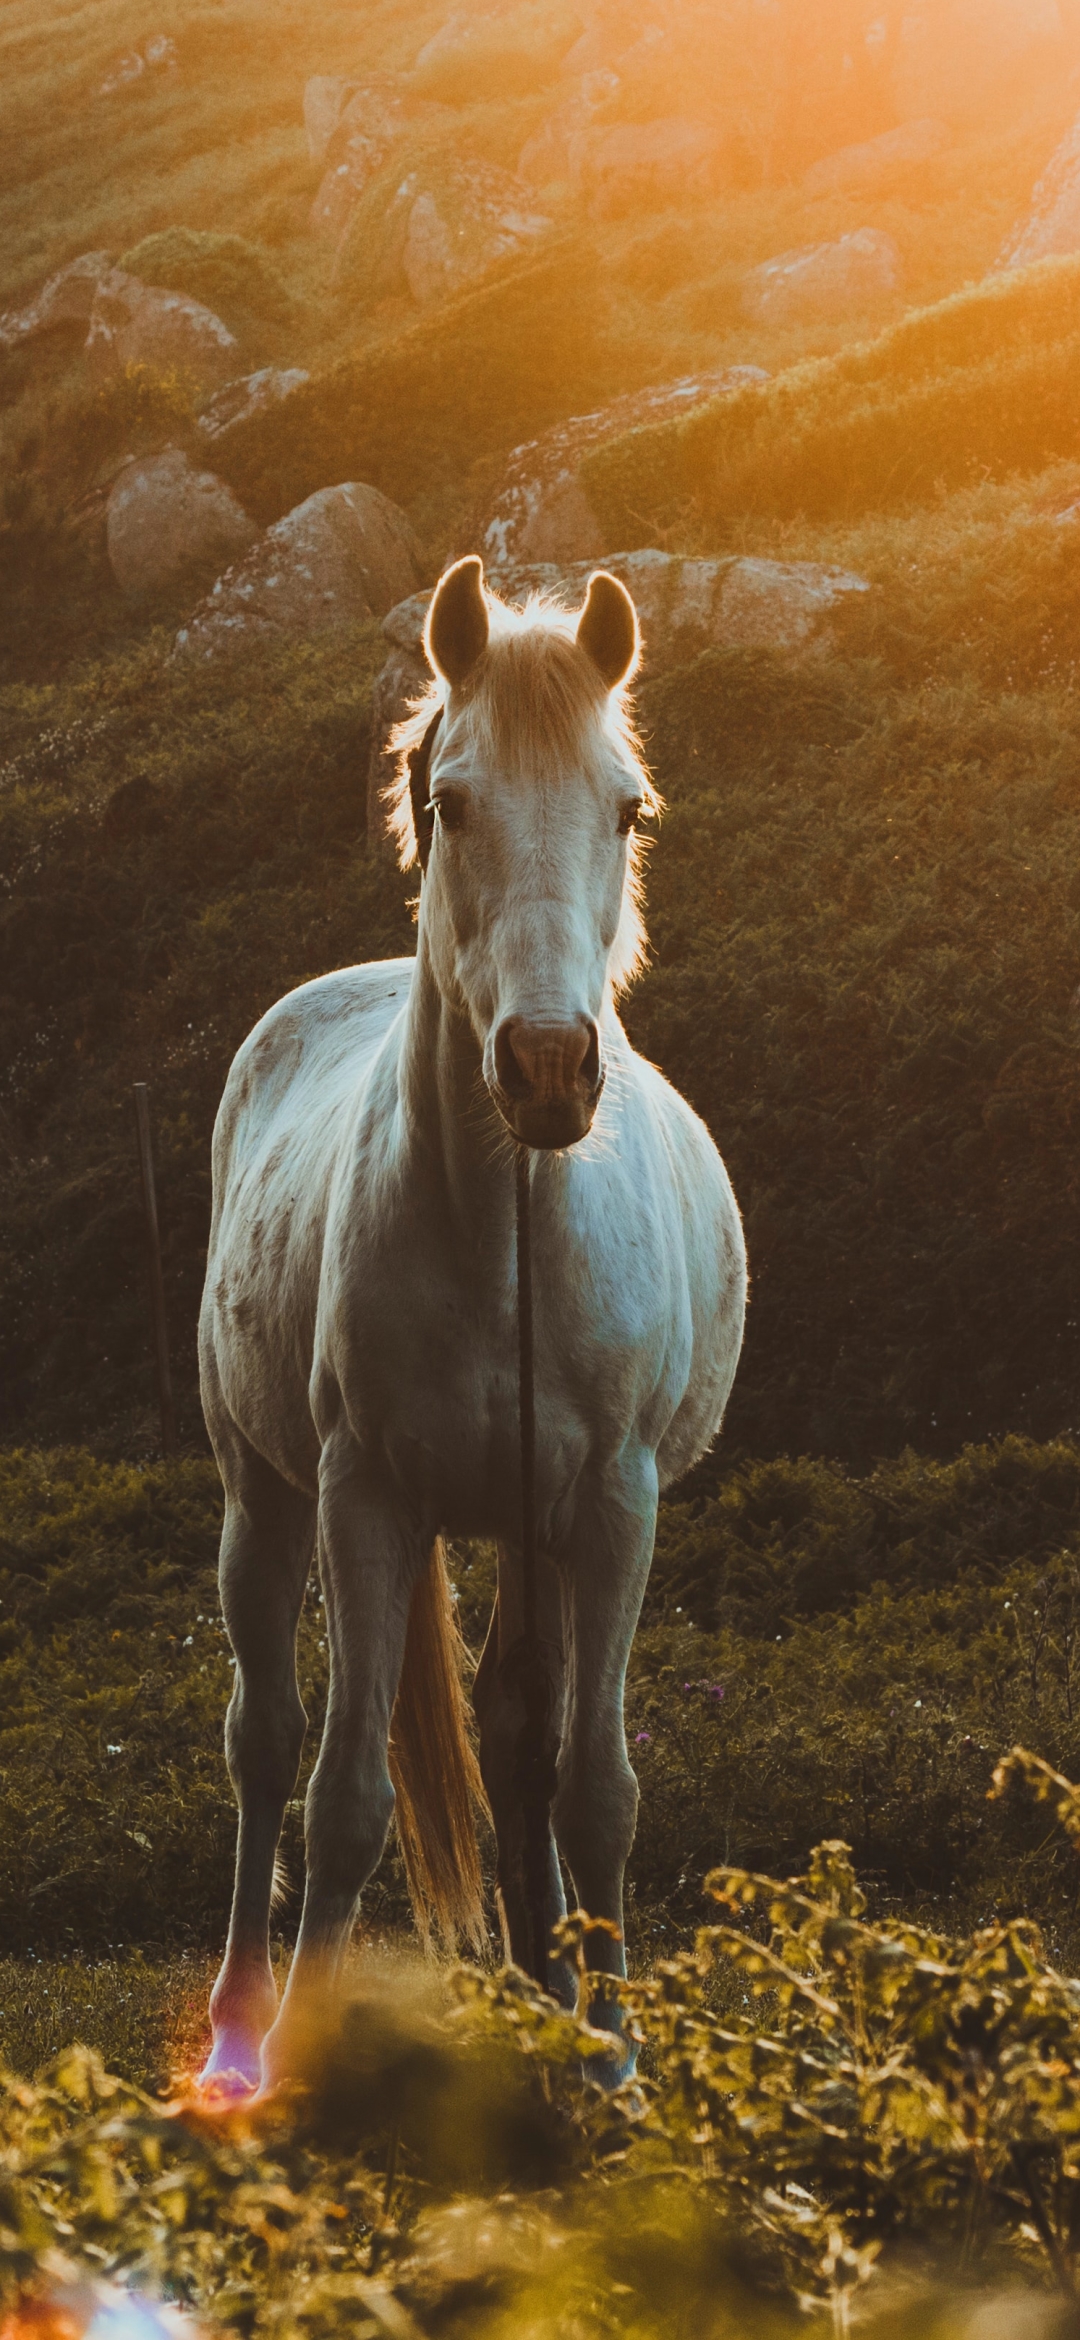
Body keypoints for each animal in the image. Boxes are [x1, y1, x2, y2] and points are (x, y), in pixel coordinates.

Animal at [198, 556, 748, 2096]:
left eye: (626, 807)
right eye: (450, 803)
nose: (551, 1068)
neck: (506, 1231)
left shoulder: (612, 1506)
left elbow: (594, 1787)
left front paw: (613, 2061)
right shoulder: (366, 1499)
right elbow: (341, 1798)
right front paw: (300, 2069)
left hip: (530, 1528)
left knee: (515, 1743)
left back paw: (543, 1995)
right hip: (263, 1497)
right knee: (264, 1743)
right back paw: (237, 2030)